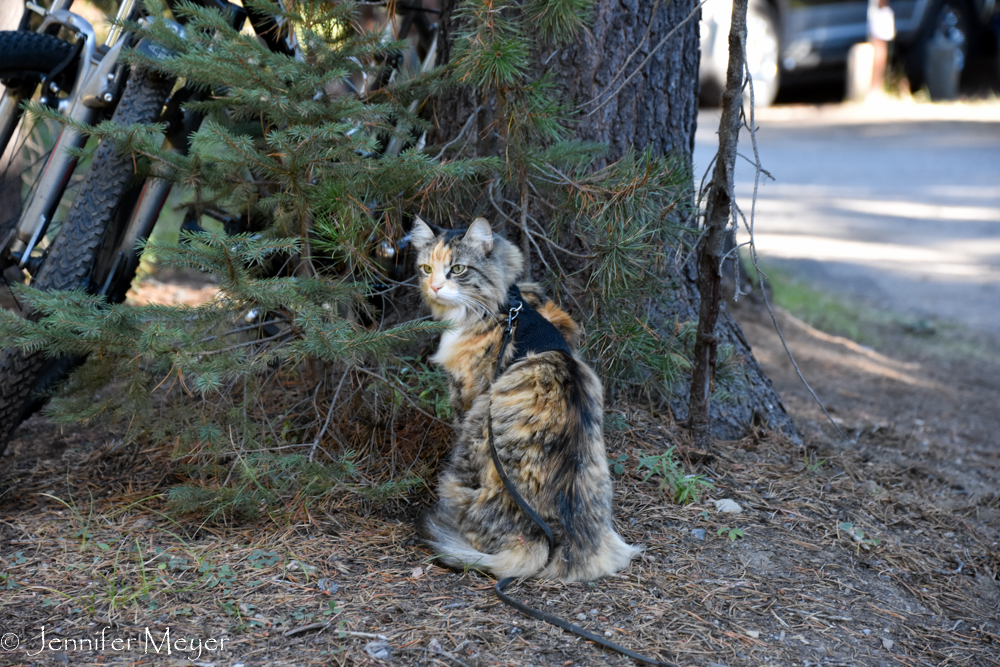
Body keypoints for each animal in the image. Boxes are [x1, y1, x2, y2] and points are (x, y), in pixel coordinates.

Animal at [410, 217, 636, 580]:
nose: (434, 288)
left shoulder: (465, 394)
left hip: (473, 441)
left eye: (458, 269)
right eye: (426, 268)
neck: (507, 305)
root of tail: (549, 541)